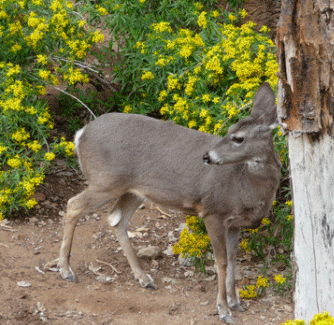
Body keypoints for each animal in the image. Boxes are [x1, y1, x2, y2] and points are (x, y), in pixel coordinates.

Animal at [58, 83, 282, 322]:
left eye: (238, 138)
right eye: (229, 130)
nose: (207, 157)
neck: (245, 184)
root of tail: (80, 134)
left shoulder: (234, 223)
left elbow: (232, 260)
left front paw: (235, 302)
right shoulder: (213, 211)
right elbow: (221, 262)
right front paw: (223, 310)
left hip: (133, 190)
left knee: (116, 219)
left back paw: (144, 278)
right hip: (105, 180)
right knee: (74, 205)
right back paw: (66, 270)